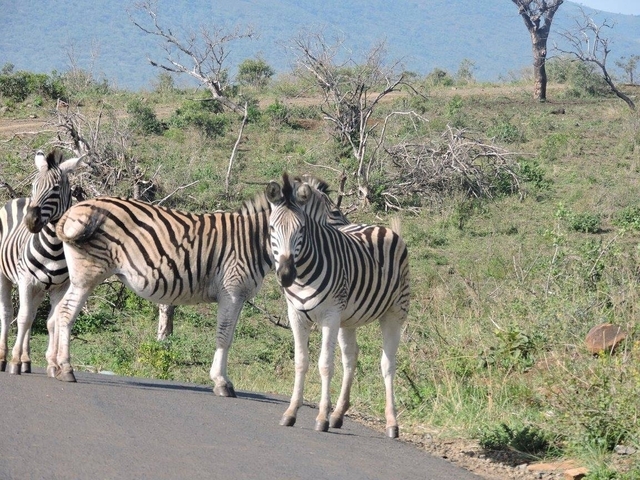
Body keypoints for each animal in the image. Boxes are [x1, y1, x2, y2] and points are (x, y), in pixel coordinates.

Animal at [0, 150, 84, 375]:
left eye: (55, 188)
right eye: (34, 185)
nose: (30, 221)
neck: (54, 245)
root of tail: (18, 200)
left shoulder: (60, 287)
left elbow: (51, 322)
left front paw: (53, 364)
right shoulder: (25, 280)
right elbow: (22, 317)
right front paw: (14, 362)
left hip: (39, 287)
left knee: (32, 314)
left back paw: (26, 359)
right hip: (5, 276)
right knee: (8, 313)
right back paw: (4, 358)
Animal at [47, 179, 348, 396]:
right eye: (335, 212)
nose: (352, 232)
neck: (252, 241)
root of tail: (73, 209)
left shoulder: (237, 296)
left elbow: (228, 336)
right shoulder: (231, 291)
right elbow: (224, 337)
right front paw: (222, 383)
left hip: (76, 275)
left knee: (56, 314)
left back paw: (53, 366)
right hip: (88, 273)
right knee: (66, 314)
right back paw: (66, 368)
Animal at [265, 174, 411, 438]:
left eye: (302, 229)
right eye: (272, 228)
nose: (286, 275)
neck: (303, 274)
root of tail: (379, 226)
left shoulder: (330, 315)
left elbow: (325, 365)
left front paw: (321, 417)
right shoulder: (296, 315)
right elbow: (301, 361)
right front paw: (291, 412)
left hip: (395, 312)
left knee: (388, 364)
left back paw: (391, 423)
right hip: (348, 319)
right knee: (351, 357)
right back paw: (339, 414)